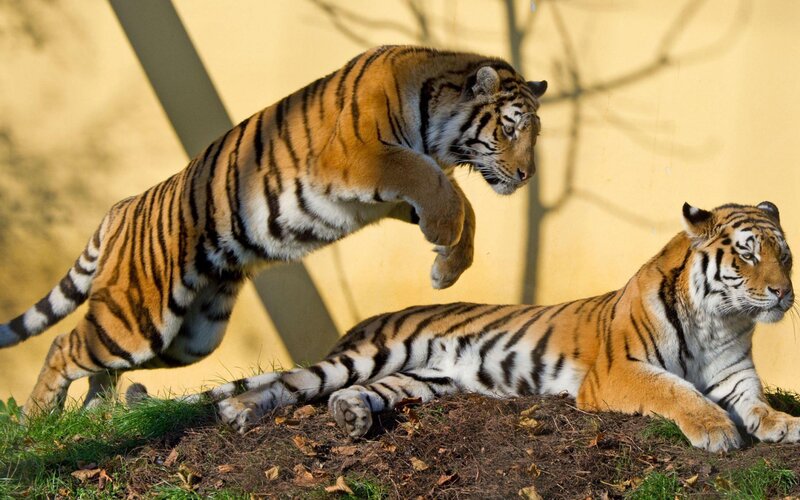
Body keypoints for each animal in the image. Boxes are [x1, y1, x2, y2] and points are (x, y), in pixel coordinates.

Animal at [0, 45, 548, 416]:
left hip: (188, 338)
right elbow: (438, 186)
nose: (527, 176)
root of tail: (121, 206)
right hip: (137, 318)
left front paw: (449, 265)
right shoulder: (363, 157)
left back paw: (96, 415)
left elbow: (461, 202)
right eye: (509, 129)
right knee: (63, 345)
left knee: (99, 365)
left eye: (534, 133)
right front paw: (443, 238)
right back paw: (35, 422)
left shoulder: (386, 194)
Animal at [132, 201, 798, 453]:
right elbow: (677, 391)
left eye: (784, 255)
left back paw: (351, 418)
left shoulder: (736, 375)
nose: (784, 293)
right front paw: (717, 431)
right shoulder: (619, 372)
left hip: (421, 379)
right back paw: (240, 412)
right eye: (746, 254)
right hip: (364, 356)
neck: (720, 321)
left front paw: (783, 424)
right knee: (291, 384)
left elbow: (756, 402)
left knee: (354, 394)